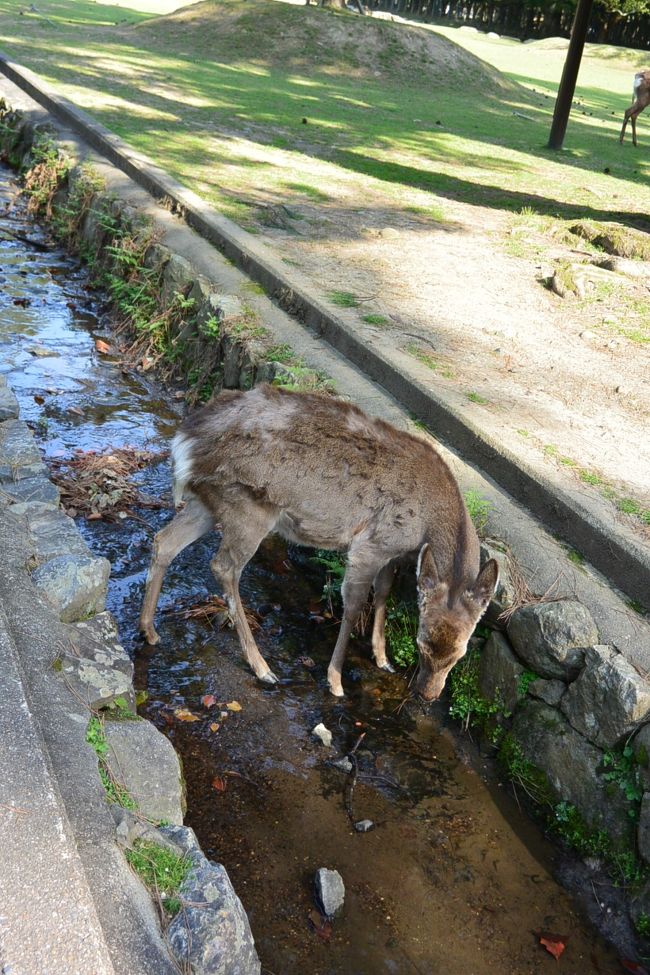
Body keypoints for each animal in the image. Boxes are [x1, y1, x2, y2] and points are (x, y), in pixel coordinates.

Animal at [139, 385, 498, 700]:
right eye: (421, 642)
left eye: (459, 653)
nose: (428, 695)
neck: (427, 522)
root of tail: (184, 442)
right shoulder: (371, 544)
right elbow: (353, 605)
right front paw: (335, 680)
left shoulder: (394, 553)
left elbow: (384, 591)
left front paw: (383, 658)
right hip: (247, 507)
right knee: (223, 566)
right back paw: (262, 667)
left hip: (210, 501)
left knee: (164, 541)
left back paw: (149, 630)